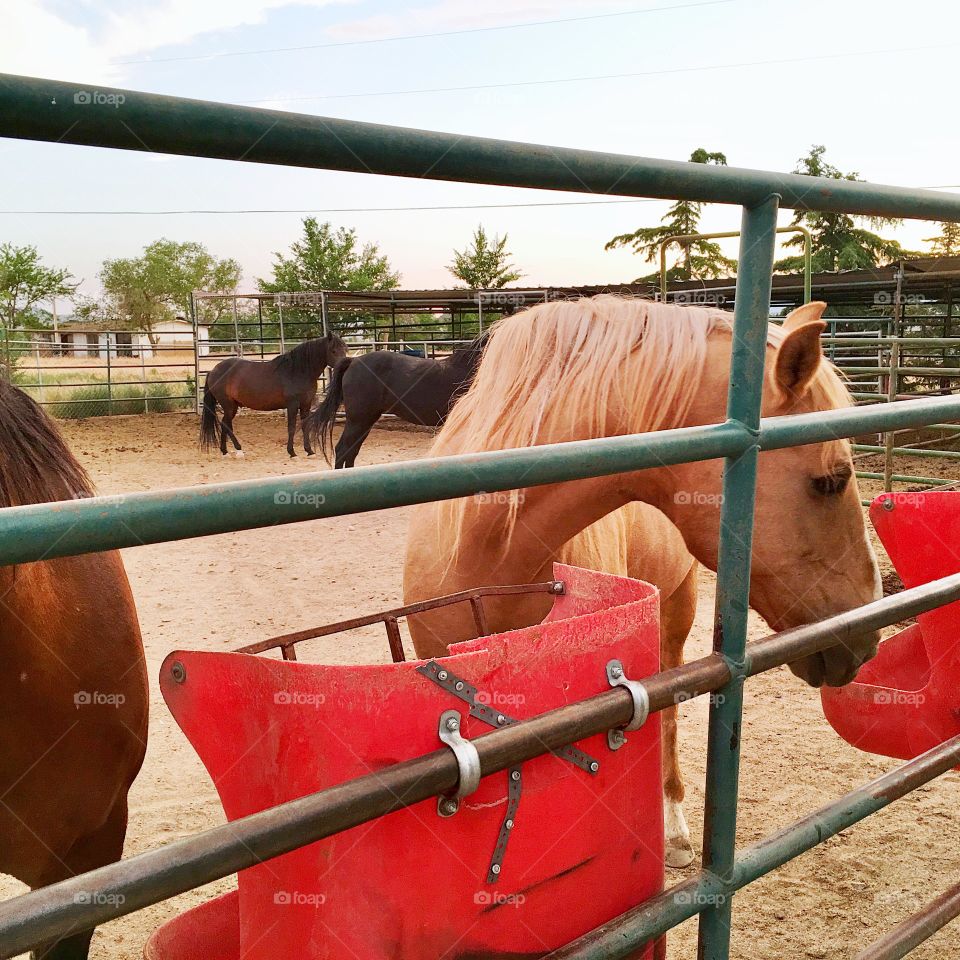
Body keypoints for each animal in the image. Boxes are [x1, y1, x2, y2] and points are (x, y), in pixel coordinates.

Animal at [202, 336, 348, 460]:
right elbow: (291, 427)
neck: (297, 371)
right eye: (333, 350)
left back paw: (225, 452)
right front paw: (292, 453)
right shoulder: (292, 405)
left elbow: (305, 425)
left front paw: (309, 451)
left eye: (345, 349)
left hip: (233, 406)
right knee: (225, 424)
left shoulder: (306, 405)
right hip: (228, 405)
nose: (344, 367)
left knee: (225, 424)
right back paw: (239, 450)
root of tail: (213, 371)